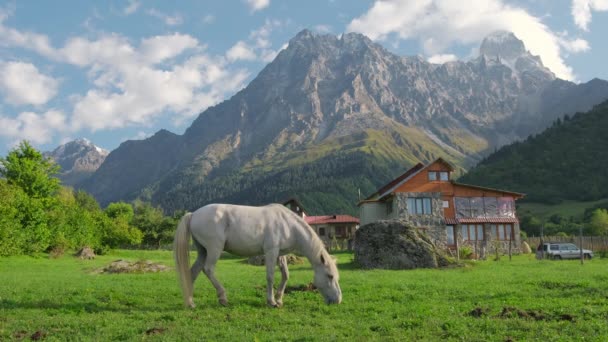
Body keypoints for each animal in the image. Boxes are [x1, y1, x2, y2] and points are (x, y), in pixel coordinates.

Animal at [173, 203, 342, 308]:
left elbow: (285, 275)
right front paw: (271, 301)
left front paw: (279, 299)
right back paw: (223, 298)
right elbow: (270, 276)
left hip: (203, 251)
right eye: (330, 276)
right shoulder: (271, 252)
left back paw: (191, 303)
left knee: (192, 272)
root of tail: (193, 214)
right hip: (214, 249)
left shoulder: (280, 254)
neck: (288, 225)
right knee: (208, 270)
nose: (338, 300)